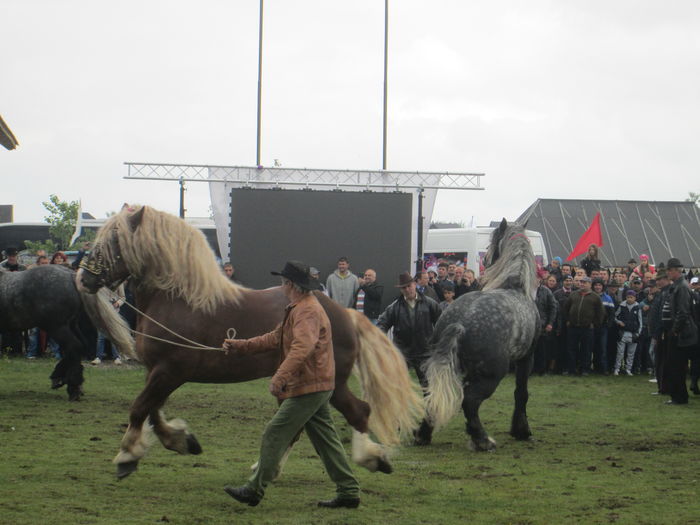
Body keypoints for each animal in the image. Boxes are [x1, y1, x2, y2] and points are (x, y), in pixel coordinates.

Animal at [78, 206, 422, 478]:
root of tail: (346, 314)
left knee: (357, 412)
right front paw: (182, 440)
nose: (83, 278)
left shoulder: (170, 371)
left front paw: (127, 455)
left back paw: (370, 458)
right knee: (299, 426)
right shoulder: (156, 372)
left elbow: (140, 408)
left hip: (331, 383)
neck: (179, 299)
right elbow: (152, 410)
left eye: (113, 240)